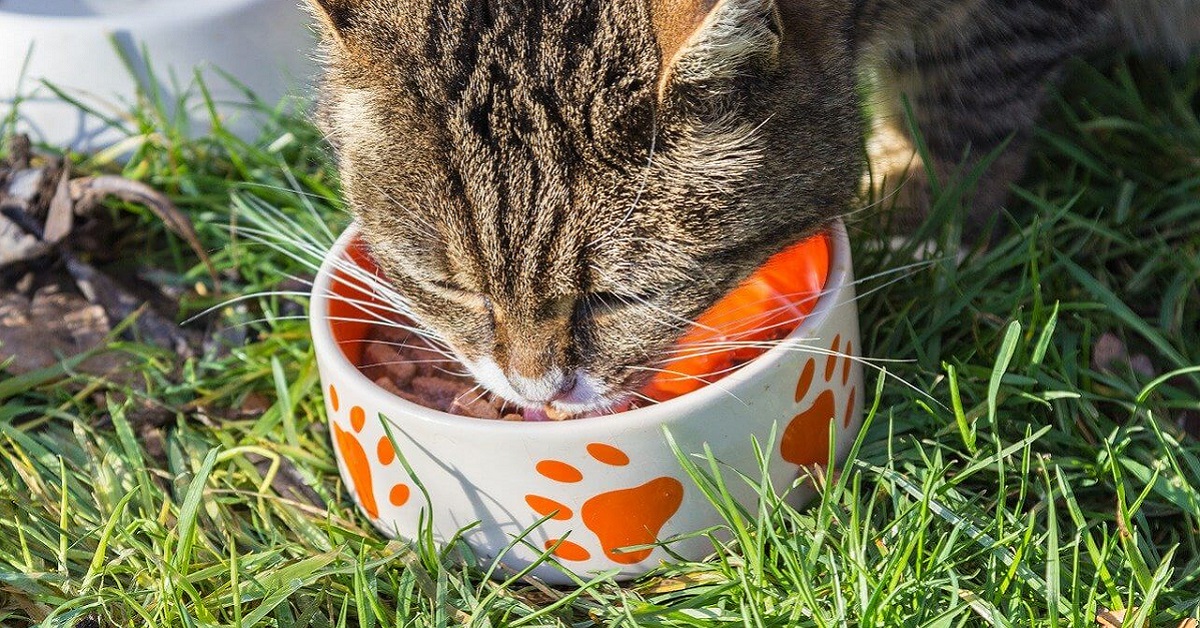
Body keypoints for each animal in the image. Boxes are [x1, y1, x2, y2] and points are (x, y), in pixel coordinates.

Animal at [302, 0, 1200, 415]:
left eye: (621, 297)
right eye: (450, 288)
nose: (539, 393)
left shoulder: (997, 30)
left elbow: (963, 96)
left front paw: (921, 221)